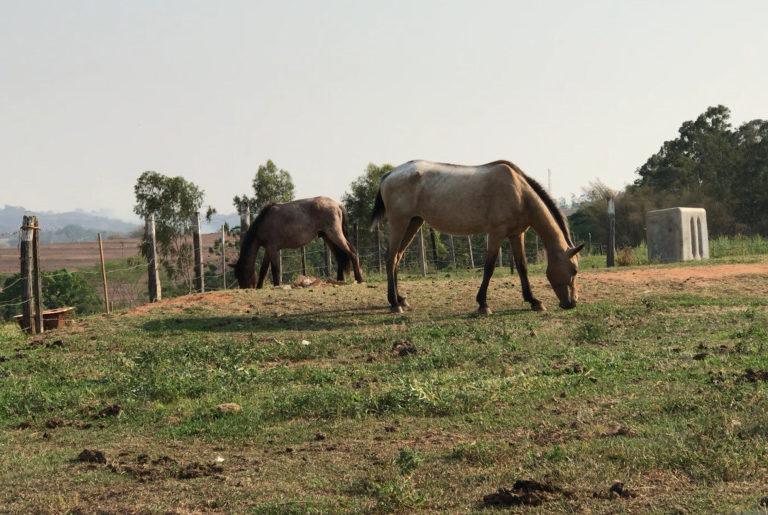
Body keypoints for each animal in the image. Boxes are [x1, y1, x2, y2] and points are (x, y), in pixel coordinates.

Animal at [231, 197, 364, 288]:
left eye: (242, 274)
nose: (245, 288)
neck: (264, 222)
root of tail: (337, 204)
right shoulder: (268, 250)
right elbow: (264, 270)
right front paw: (260, 287)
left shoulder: (273, 248)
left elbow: (275, 269)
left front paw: (277, 286)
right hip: (328, 237)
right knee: (340, 257)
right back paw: (339, 280)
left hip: (335, 235)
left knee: (352, 252)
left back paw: (359, 279)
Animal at [370, 160, 584, 314]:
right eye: (574, 270)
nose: (572, 303)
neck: (519, 192)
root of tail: (389, 175)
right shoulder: (496, 233)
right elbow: (489, 267)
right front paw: (483, 304)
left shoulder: (517, 234)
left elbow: (522, 266)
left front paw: (533, 301)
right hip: (399, 224)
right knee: (390, 258)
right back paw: (394, 304)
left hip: (413, 223)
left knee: (397, 258)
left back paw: (400, 300)